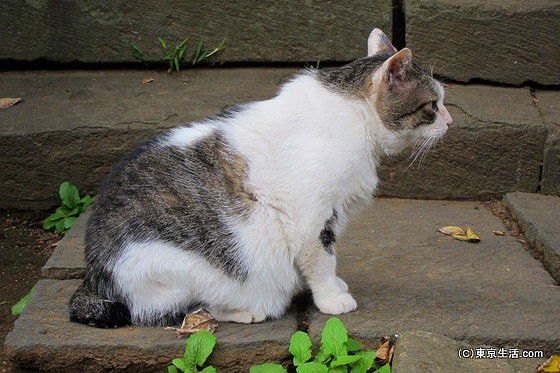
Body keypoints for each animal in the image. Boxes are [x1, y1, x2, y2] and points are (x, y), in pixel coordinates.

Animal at [68, 28, 452, 326]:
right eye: (432, 105)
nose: (450, 122)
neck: (355, 117)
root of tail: (94, 275)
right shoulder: (312, 220)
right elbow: (322, 261)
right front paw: (332, 299)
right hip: (179, 267)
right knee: (186, 311)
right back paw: (246, 311)